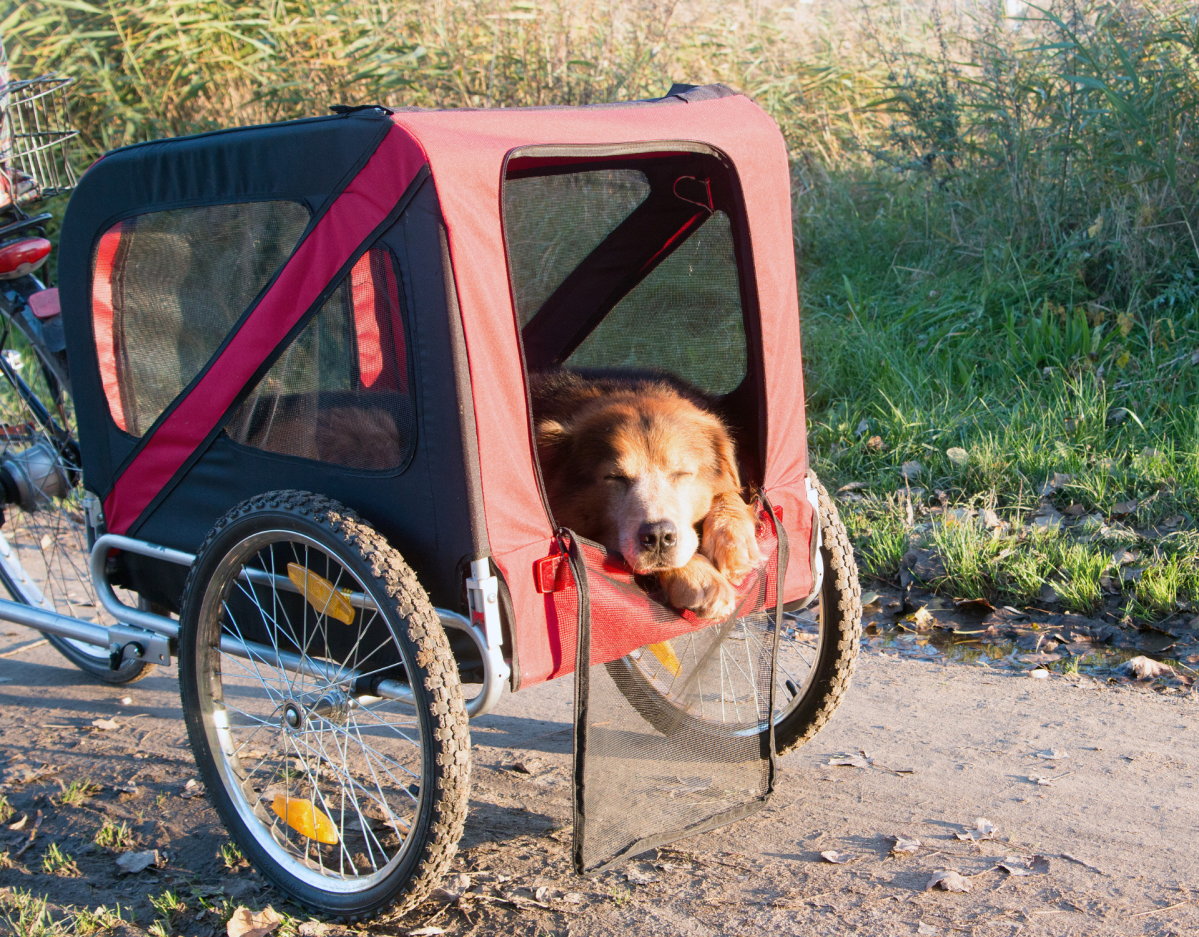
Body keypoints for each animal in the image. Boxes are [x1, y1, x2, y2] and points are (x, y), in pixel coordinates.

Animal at [532, 367, 757, 619]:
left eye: (681, 473)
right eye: (615, 477)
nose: (658, 536)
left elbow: (729, 492)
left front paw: (733, 539)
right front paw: (698, 574)